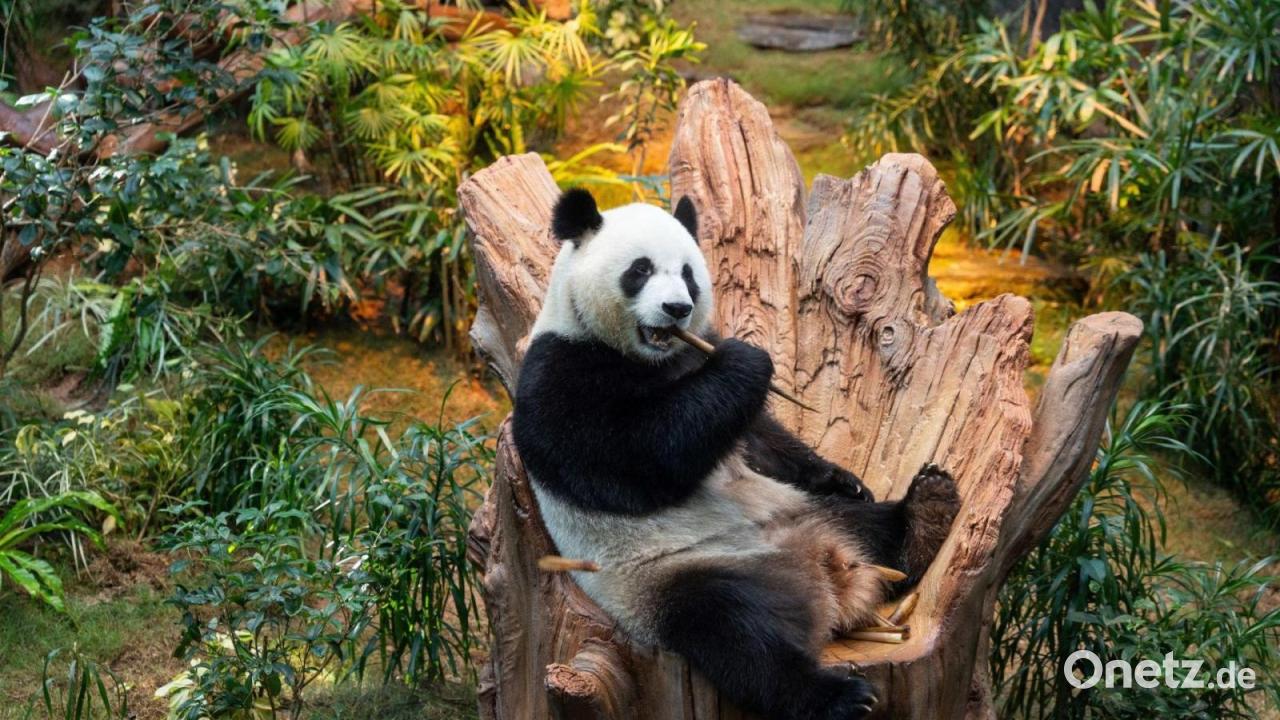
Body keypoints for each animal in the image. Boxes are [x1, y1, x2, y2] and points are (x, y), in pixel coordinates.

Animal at [512, 188, 962, 720]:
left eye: (688, 272)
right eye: (640, 269)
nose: (677, 309)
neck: (653, 358)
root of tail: (822, 577)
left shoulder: (695, 356)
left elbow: (759, 438)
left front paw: (842, 476)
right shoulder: (559, 370)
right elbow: (630, 461)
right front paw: (747, 361)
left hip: (804, 512)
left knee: (869, 527)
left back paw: (927, 512)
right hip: (671, 580)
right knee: (739, 637)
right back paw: (837, 696)